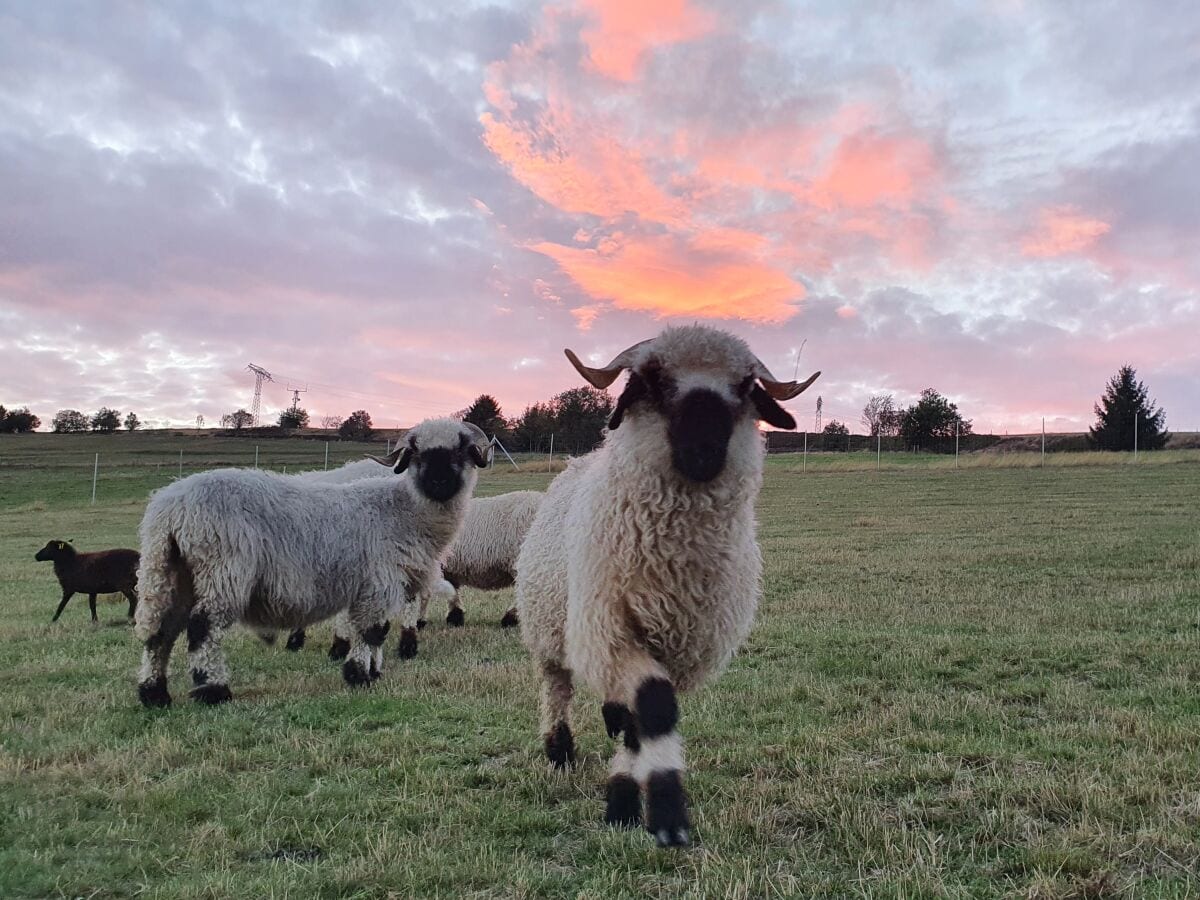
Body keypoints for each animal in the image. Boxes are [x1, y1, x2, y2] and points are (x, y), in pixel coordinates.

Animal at [131, 420, 487, 710]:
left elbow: (378, 631)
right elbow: (372, 631)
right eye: (417, 453)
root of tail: (171, 508)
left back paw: (154, 694)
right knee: (202, 627)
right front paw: (359, 675)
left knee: (161, 631)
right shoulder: (379, 580)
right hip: (222, 570)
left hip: (169, 571)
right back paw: (213, 690)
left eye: (460, 450)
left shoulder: (382, 585)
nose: (439, 481)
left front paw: (372, 671)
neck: (404, 510)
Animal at [511, 328, 820, 849]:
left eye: (744, 385)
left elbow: (646, 722)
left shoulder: (682, 644)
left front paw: (625, 800)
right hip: (550, 631)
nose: (704, 450)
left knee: (618, 711)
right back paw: (559, 751)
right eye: (654, 380)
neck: (673, 566)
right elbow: (654, 707)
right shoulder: (611, 631)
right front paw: (661, 811)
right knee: (556, 690)